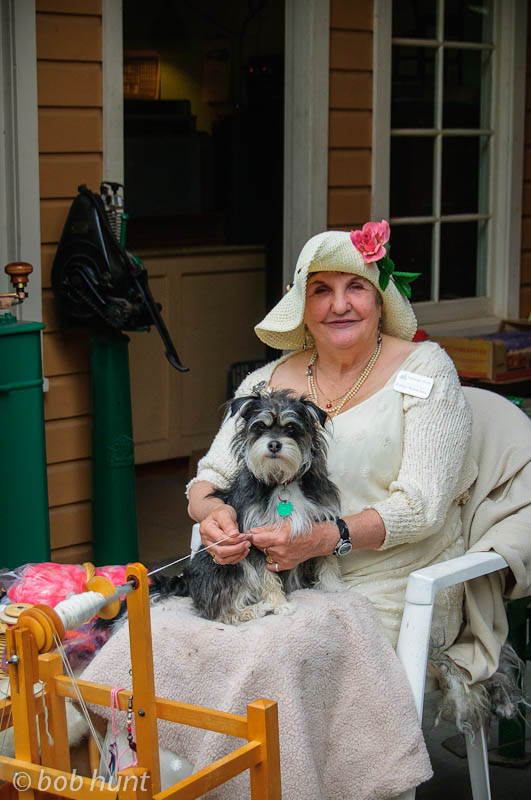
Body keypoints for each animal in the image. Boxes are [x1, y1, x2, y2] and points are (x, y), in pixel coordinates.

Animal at [160, 386, 344, 624]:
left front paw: (332, 586)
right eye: (260, 426)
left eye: (291, 427)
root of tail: (188, 583)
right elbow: (266, 576)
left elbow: (326, 557)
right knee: (220, 612)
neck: (281, 482)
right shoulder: (254, 538)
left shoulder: (322, 520)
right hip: (230, 566)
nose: (274, 444)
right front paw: (280, 604)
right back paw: (255, 609)